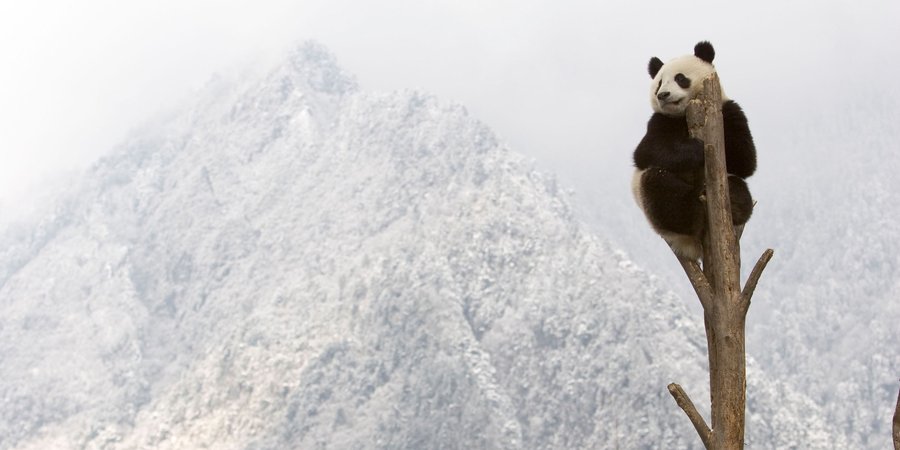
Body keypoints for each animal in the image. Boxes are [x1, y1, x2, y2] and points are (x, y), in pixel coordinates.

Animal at [631, 41, 756, 260]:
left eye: (680, 78)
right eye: (659, 83)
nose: (662, 95)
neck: (683, 114)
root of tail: (691, 247)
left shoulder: (728, 109)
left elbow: (745, 160)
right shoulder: (660, 121)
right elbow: (646, 152)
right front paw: (697, 150)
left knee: (739, 187)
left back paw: (734, 201)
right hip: (651, 206)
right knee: (660, 189)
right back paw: (693, 212)